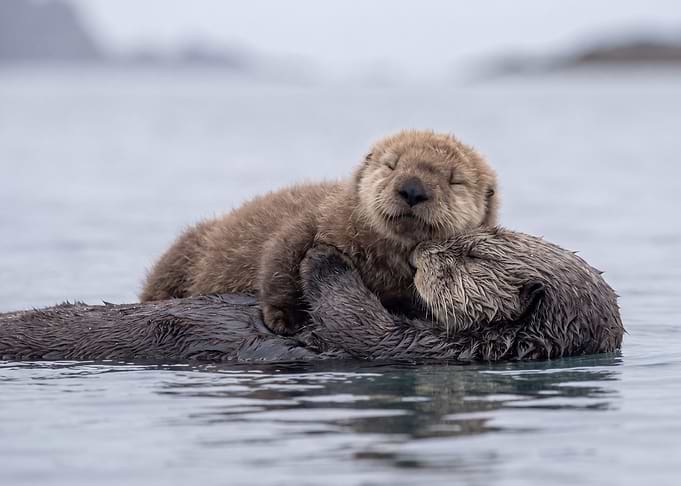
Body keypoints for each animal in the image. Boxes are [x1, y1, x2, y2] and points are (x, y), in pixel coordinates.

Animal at [140, 130, 499, 334]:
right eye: (391, 164)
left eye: (455, 180)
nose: (412, 188)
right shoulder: (315, 220)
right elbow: (279, 259)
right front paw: (287, 317)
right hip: (182, 255)